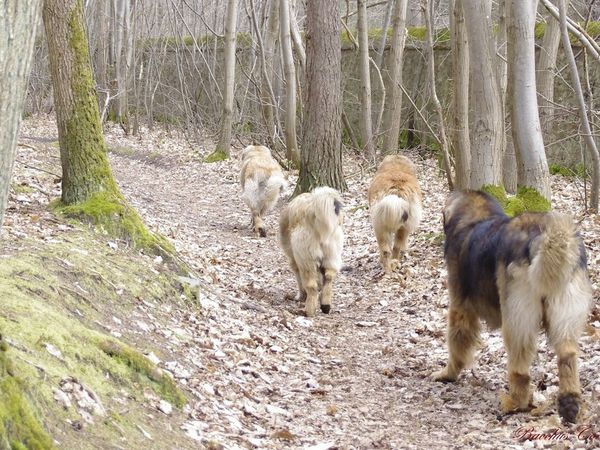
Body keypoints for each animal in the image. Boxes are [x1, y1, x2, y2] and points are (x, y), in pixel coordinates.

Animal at [278, 186, 344, 316]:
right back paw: (325, 305)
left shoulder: (295, 261)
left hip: (306, 259)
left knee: (311, 286)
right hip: (331, 256)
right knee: (329, 278)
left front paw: (301, 296)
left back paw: (308, 310)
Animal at [434, 191, 592, 426]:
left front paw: (447, 374)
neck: (476, 218)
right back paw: (570, 403)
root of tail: (542, 236)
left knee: (519, 368)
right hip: (565, 312)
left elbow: (457, 344)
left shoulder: (460, 307)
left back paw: (515, 402)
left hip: (517, 317)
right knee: (567, 356)